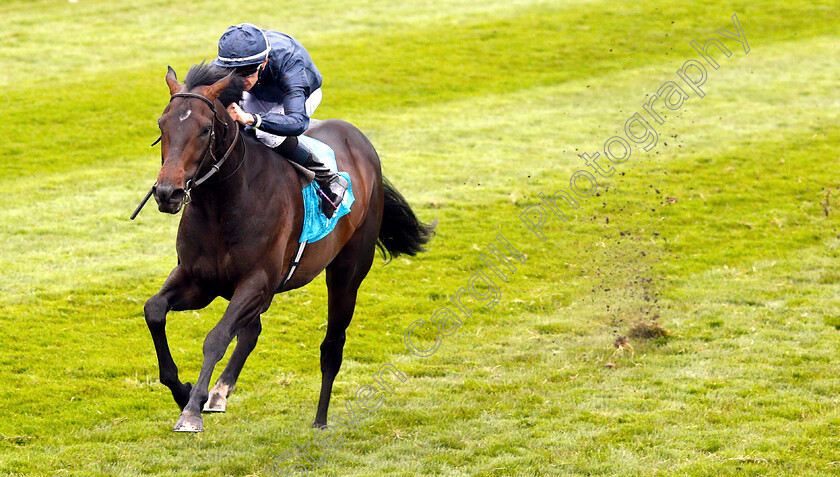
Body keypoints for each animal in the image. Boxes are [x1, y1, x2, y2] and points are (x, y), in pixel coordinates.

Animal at [142, 62, 436, 432]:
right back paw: (220, 391)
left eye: (205, 128)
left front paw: (191, 410)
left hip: (347, 271)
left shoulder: (256, 281)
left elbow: (217, 337)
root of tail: (359, 140)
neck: (223, 204)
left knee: (332, 345)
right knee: (252, 330)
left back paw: (320, 420)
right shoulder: (200, 281)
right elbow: (154, 310)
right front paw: (184, 392)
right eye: (162, 124)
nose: (168, 193)